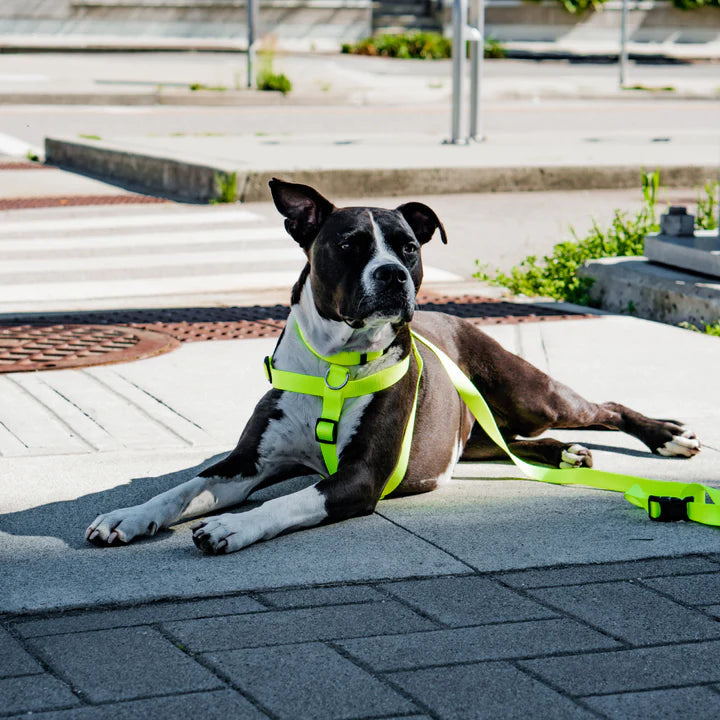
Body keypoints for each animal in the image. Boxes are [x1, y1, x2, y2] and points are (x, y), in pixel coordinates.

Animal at [84, 179, 696, 552]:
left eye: (409, 247)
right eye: (350, 244)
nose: (393, 275)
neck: (334, 366)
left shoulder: (358, 477)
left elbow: (288, 500)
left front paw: (233, 525)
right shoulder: (248, 462)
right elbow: (181, 490)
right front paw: (128, 516)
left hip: (532, 394)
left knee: (604, 407)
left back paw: (666, 436)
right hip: (476, 434)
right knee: (516, 443)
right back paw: (564, 453)